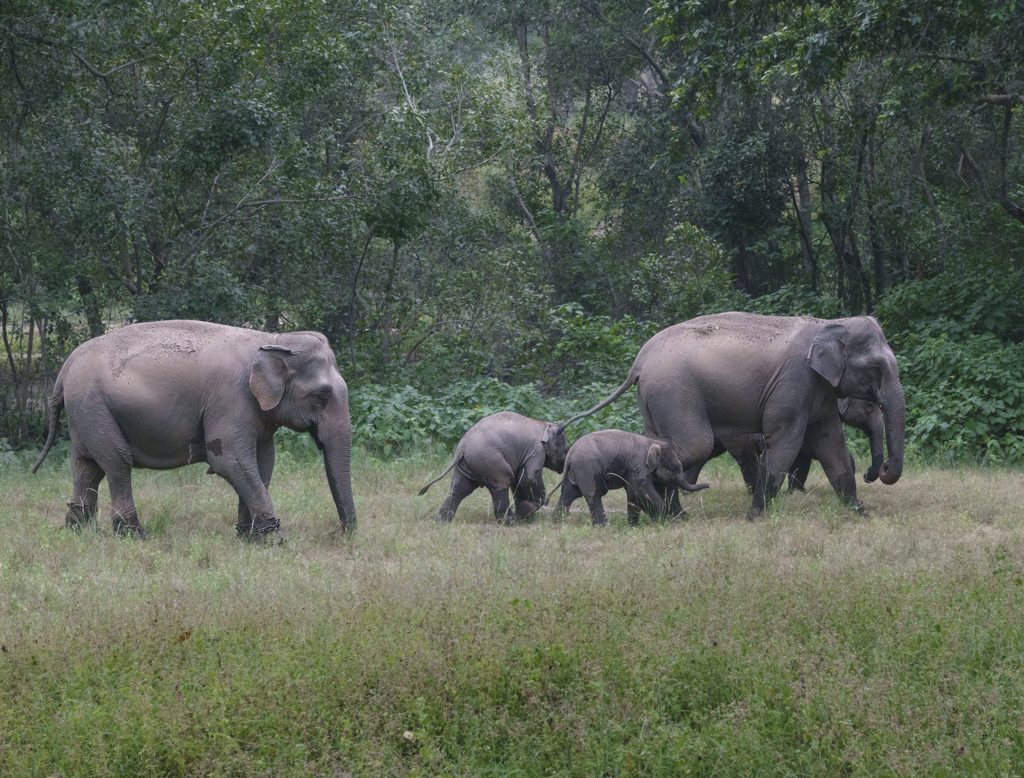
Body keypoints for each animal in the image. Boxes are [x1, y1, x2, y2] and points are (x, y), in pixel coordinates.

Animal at [32, 319, 356, 536]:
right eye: (321, 396)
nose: (341, 534)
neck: (274, 339)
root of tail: (65, 368)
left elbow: (264, 462)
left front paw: (250, 538)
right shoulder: (230, 399)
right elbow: (230, 461)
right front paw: (275, 539)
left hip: (85, 413)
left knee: (87, 466)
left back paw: (77, 532)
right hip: (94, 407)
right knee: (117, 462)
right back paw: (133, 535)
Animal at [419, 413, 573, 522]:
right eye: (566, 449)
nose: (563, 466)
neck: (544, 425)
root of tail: (460, 448)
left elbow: (518, 481)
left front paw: (523, 513)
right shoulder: (536, 451)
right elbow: (528, 477)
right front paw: (531, 507)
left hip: (467, 464)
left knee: (459, 490)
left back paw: (442, 522)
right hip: (489, 461)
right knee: (503, 481)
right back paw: (510, 521)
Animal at [548, 427, 708, 524]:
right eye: (675, 468)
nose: (709, 485)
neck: (652, 443)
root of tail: (570, 454)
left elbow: (632, 494)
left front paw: (634, 525)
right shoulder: (637, 465)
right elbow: (637, 490)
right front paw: (659, 521)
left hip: (576, 471)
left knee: (569, 493)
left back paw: (556, 521)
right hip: (587, 468)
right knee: (594, 494)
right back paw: (603, 525)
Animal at [561, 313, 905, 520]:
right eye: (875, 369)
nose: (878, 470)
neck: (828, 322)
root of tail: (639, 359)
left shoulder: (820, 392)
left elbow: (831, 443)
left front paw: (860, 512)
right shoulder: (793, 384)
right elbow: (785, 442)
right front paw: (754, 517)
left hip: (652, 401)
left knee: (663, 443)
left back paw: (674, 516)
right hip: (674, 393)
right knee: (695, 446)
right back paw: (668, 514)